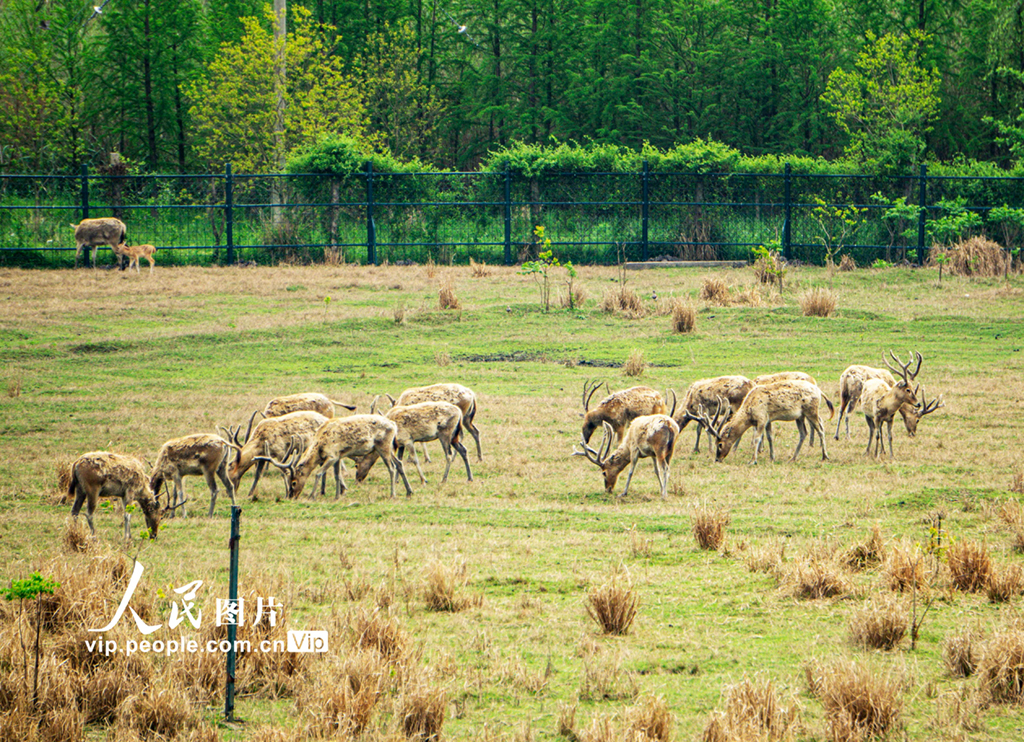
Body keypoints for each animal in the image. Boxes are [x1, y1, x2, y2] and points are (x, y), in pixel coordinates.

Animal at [256, 413, 415, 501]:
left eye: (293, 482)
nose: (291, 496)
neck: (319, 446)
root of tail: (393, 425)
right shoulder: (339, 455)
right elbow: (337, 475)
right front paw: (337, 496)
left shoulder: (332, 455)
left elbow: (319, 473)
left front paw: (312, 496)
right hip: (387, 448)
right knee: (399, 463)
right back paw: (409, 492)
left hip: (384, 445)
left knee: (391, 468)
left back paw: (393, 494)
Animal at [700, 376, 835, 462]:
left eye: (720, 444)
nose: (717, 459)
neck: (749, 410)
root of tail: (819, 391)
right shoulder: (769, 420)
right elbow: (770, 437)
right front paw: (772, 457)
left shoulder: (762, 418)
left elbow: (757, 438)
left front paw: (753, 460)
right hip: (800, 416)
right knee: (804, 433)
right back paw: (793, 458)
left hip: (811, 410)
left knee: (820, 429)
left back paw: (825, 456)